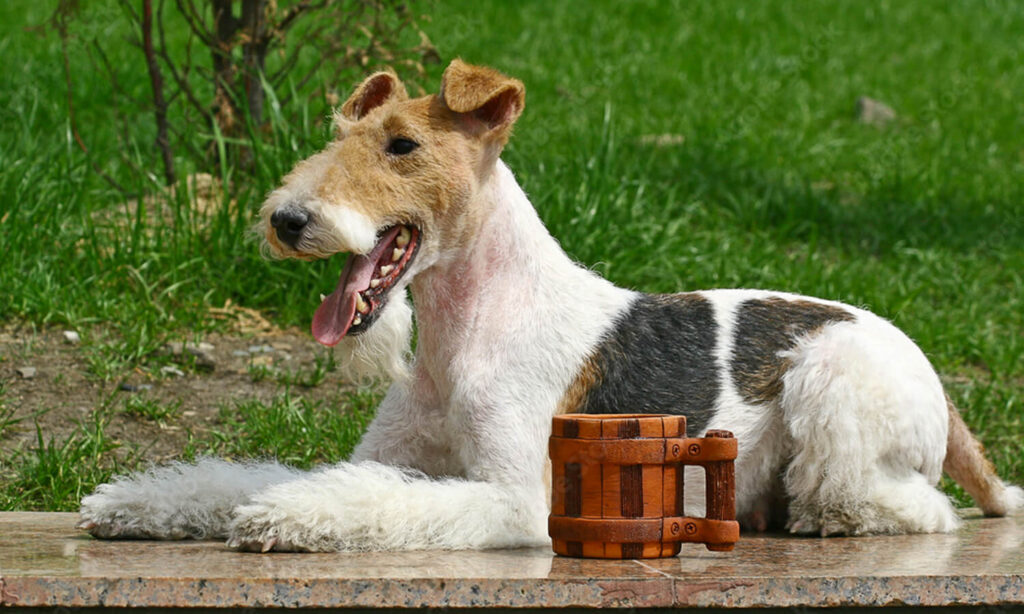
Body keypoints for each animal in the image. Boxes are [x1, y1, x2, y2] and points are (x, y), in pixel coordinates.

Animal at [75, 58, 1019, 552]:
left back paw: (819, 517)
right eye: (339, 137)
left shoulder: (510, 497)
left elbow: (362, 499)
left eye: (402, 145)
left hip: (833, 382)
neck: (464, 330)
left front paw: (282, 517)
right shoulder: (393, 456)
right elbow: (273, 475)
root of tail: (939, 384)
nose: (287, 220)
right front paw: (137, 504)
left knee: (901, 506)